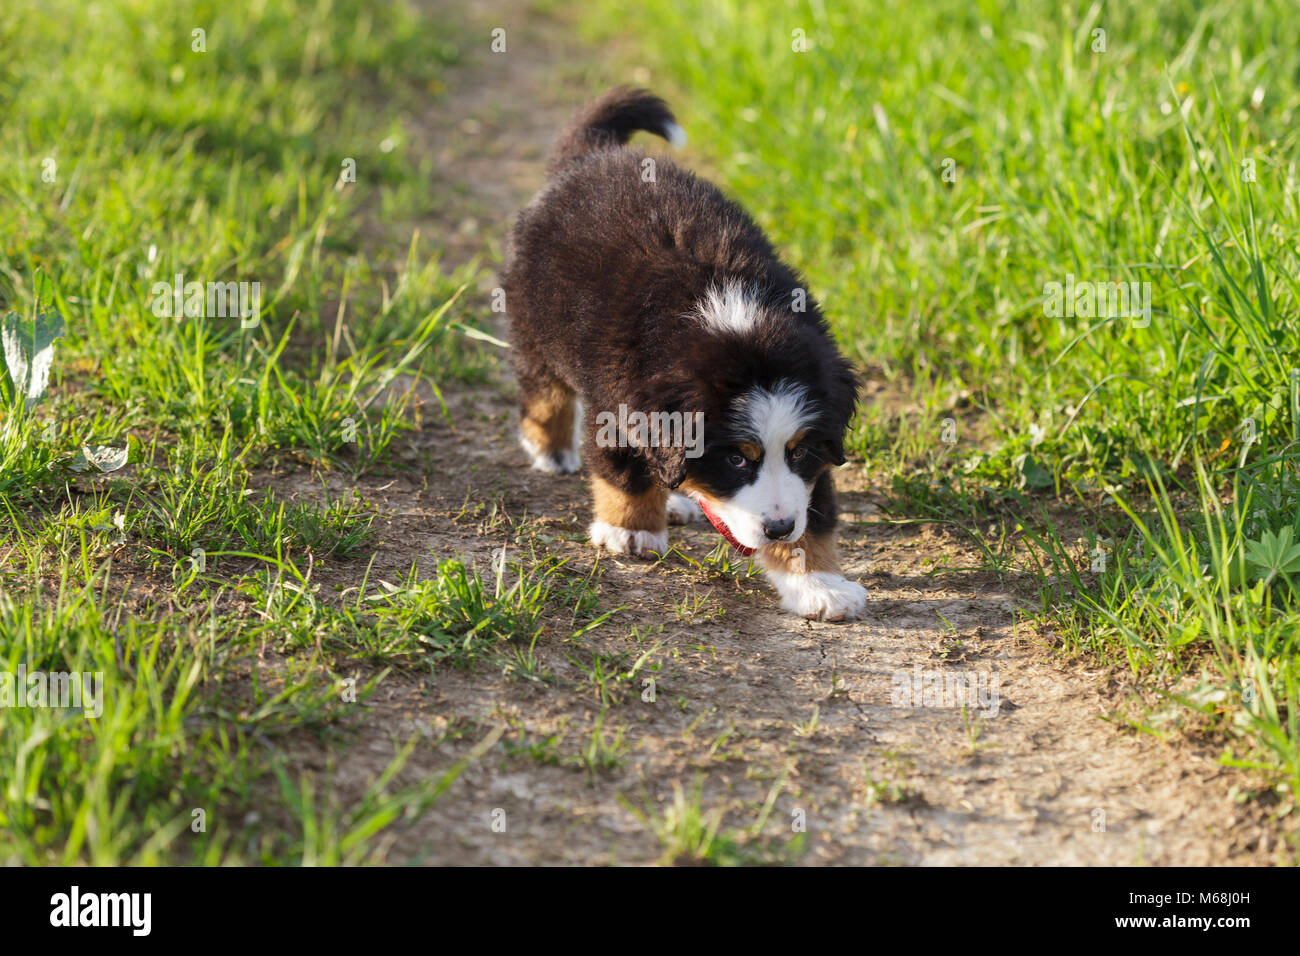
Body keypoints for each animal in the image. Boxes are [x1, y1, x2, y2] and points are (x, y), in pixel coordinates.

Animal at [501, 83, 868, 621]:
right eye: (736, 459)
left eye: (799, 450)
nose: (778, 529)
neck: (734, 319)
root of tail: (592, 155)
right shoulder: (618, 400)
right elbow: (625, 470)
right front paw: (630, 531)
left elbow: (815, 510)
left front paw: (818, 584)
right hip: (534, 327)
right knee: (544, 395)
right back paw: (551, 451)